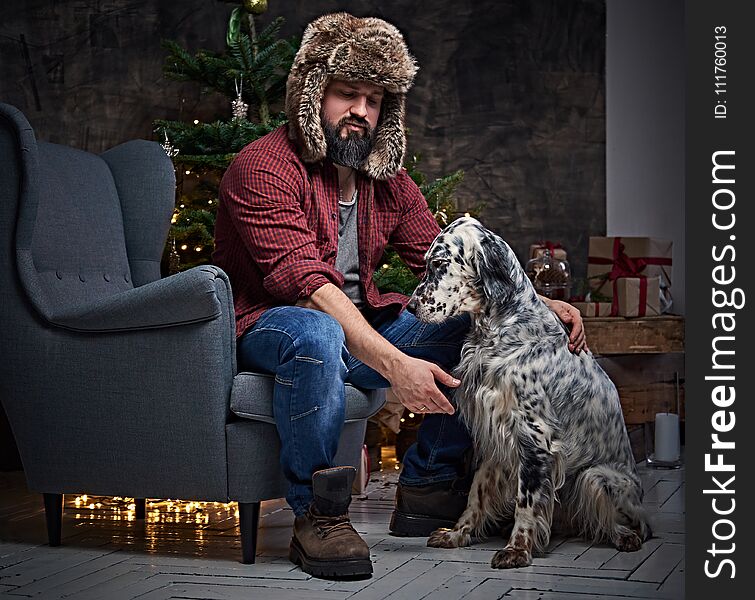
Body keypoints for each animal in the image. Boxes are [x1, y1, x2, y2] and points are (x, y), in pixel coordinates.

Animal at [410, 218, 652, 568]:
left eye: (440, 264)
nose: (410, 307)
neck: (500, 327)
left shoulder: (535, 435)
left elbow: (527, 500)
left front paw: (517, 549)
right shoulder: (495, 434)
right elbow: (477, 492)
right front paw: (458, 534)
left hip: (595, 477)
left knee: (637, 524)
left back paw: (626, 536)